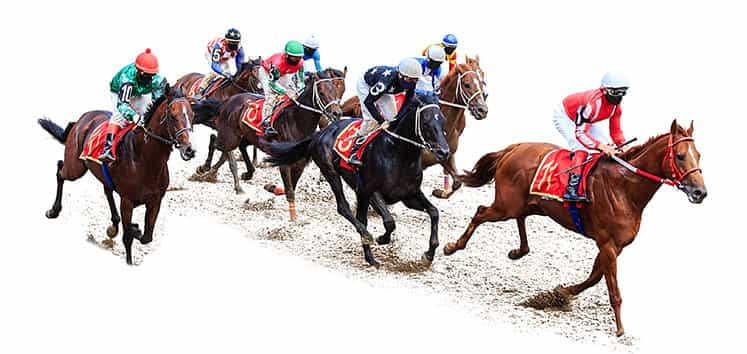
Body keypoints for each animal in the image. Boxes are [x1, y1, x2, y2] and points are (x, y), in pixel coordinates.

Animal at [38, 85, 200, 264]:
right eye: (172, 116)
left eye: (193, 115)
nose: (189, 149)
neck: (145, 159)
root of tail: (82, 118)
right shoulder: (127, 201)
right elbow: (128, 237)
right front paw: (131, 247)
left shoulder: (156, 200)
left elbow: (147, 237)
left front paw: (135, 229)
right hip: (75, 168)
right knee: (60, 170)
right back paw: (53, 211)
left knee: (106, 189)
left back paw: (113, 226)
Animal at [191, 66, 346, 216]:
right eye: (321, 92)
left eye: (335, 90)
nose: (337, 113)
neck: (297, 121)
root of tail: (227, 101)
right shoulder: (284, 161)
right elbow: (290, 190)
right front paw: (293, 219)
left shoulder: (300, 162)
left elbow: (290, 188)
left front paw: (272, 188)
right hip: (230, 137)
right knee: (217, 143)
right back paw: (204, 169)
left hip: (248, 136)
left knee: (237, 147)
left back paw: (242, 172)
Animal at [262, 93, 450, 266]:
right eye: (425, 123)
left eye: (443, 121)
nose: (444, 152)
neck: (398, 154)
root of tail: (320, 133)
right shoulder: (370, 191)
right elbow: (389, 222)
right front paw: (381, 238)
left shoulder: (409, 195)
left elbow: (434, 212)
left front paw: (429, 254)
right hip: (331, 172)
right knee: (344, 208)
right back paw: (367, 239)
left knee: (360, 217)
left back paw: (370, 257)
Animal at [340, 56, 490, 198]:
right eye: (467, 84)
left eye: (483, 81)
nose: (482, 110)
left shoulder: (447, 154)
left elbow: (457, 182)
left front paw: (440, 192)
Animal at [444, 120, 708, 336]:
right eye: (681, 156)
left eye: (699, 155)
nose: (700, 192)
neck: (625, 188)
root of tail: (514, 147)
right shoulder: (607, 244)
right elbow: (611, 287)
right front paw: (620, 329)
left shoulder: (615, 246)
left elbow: (594, 277)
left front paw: (560, 293)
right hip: (505, 205)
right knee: (481, 212)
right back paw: (453, 246)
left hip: (527, 204)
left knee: (520, 219)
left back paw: (518, 251)